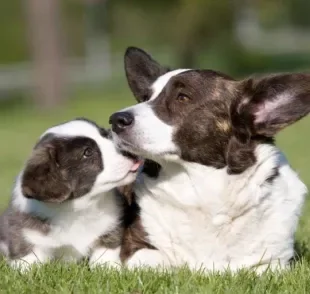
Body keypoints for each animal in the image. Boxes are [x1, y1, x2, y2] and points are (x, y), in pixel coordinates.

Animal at [0, 118, 142, 270]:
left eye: (106, 135)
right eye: (87, 152)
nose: (130, 151)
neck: (80, 207)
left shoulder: (109, 232)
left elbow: (105, 255)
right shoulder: (28, 238)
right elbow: (27, 260)